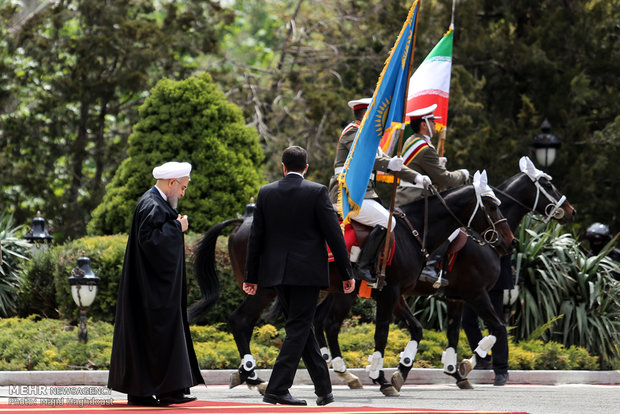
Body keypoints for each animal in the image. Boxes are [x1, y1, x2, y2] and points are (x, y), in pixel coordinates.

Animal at [193, 173, 512, 396]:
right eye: (492, 204)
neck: (413, 232)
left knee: (300, 324)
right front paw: (382, 377)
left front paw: (403, 371)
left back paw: (253, 376)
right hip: (266, 289)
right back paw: (255, 375)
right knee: (244, 321)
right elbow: (383, 334)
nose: (509, 241)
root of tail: (243, 221)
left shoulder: (401, 294)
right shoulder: (438, 293)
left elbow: (419, 329)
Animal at [314, 156, 576, 392]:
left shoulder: (449, 297)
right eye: (548, 184)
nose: (571, 211)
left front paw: (434, 370)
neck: (413, 232)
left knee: (322, 323)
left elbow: (439, 332)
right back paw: (342, 370)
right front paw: (465, 365)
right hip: (343, 292)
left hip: (338, 291)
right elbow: (497, 328)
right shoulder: (470, 293)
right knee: (329, 324)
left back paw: (340, 370)